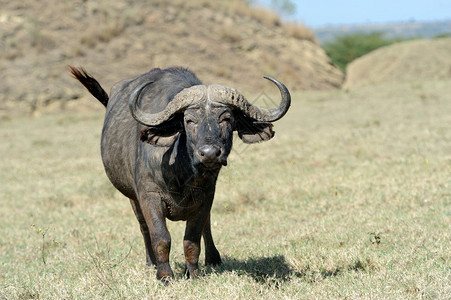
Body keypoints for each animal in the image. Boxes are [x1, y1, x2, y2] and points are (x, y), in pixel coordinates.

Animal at [69, 64, 292, 282]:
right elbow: (161, 237)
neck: (183, 175)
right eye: (189, 120)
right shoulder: (149, 195)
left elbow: (192, 240)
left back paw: (213, 259)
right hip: (132, 197)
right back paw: (151, 263)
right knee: (143, 227)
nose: (209, 153)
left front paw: (192, 273)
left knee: (206, 226)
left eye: (226, 119)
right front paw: (165, 275)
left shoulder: (206, 196)